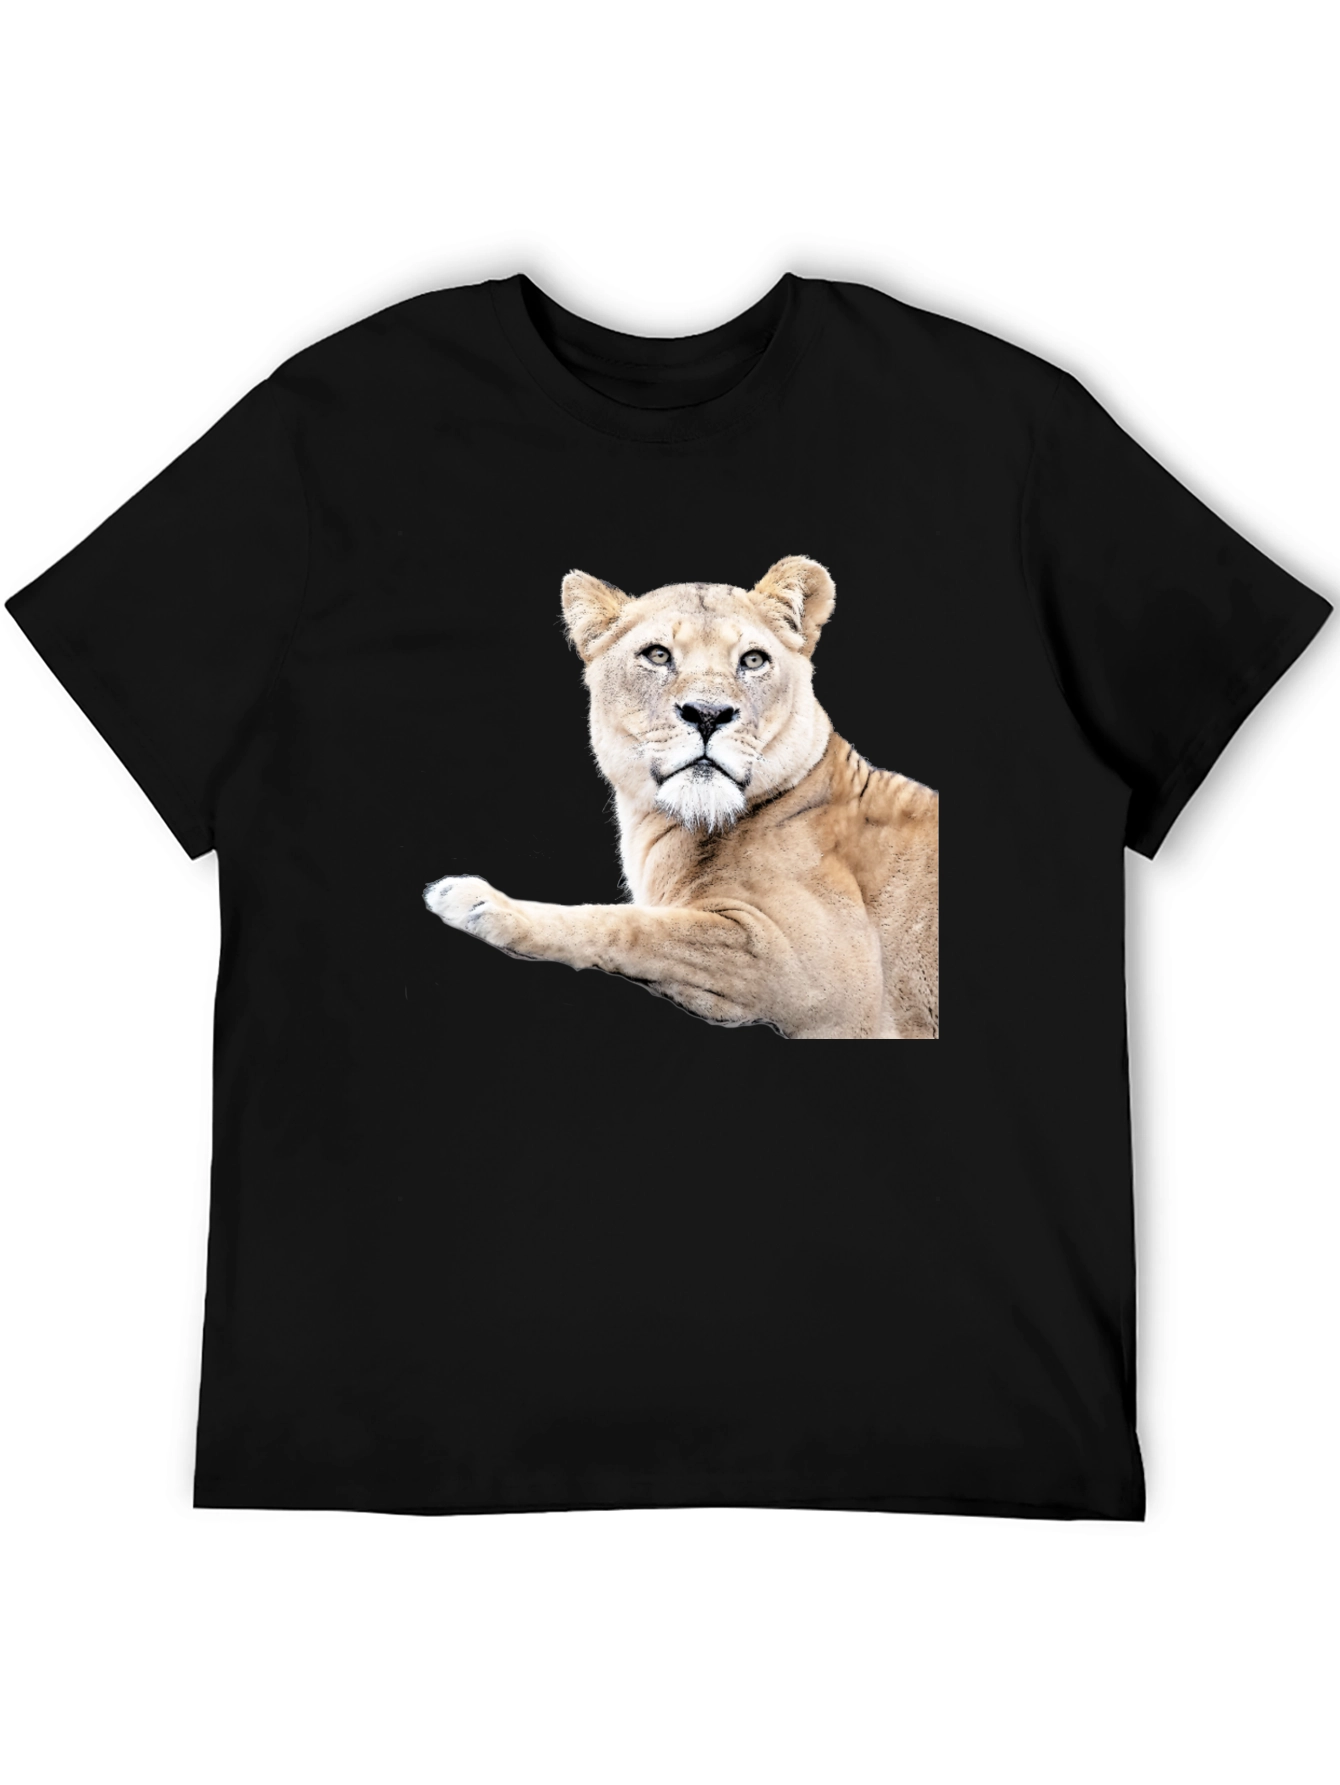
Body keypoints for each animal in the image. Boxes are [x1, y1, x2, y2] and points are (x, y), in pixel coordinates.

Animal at [424, 557, 938, 1039]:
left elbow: (635, 927)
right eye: (657, 655)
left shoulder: (826, 976)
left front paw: (482, 904)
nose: (708, 713)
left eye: (753, 661)